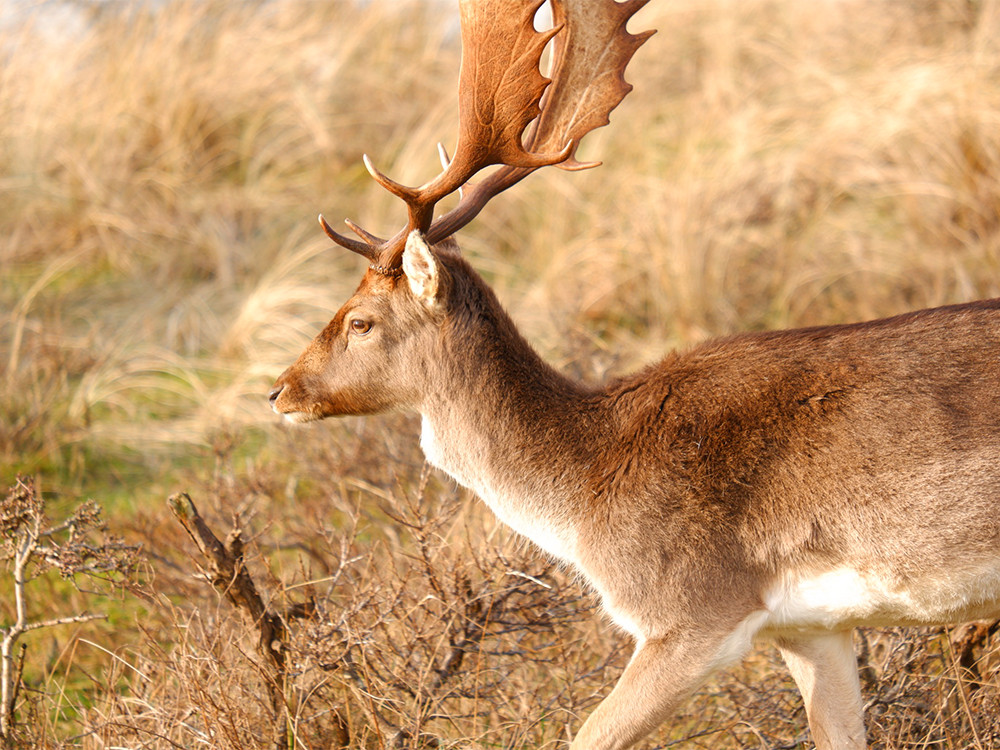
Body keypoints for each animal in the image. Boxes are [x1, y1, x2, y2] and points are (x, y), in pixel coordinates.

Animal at [270, 1, 1000, 750]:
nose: (279, 390)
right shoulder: (811, 627)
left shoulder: (693, 612)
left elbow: (586, 735)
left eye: (360, 320)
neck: (584, 493)